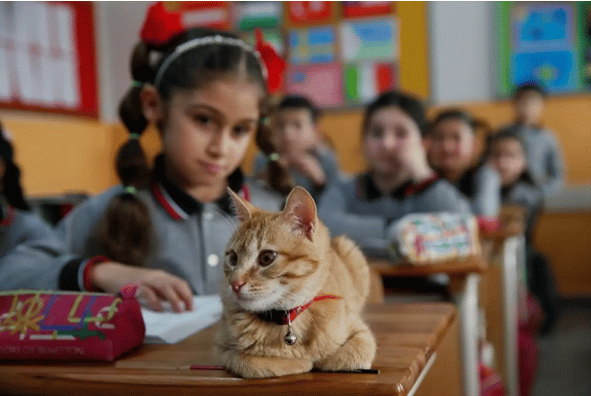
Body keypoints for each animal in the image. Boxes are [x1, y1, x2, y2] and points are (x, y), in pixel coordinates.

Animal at [216, 186, 374, 378]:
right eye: (233, 258)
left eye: (266, 258)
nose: (234, 283)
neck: (286, 318)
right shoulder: (223, 347)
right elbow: (250, 362)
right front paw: (299, 361)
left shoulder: (359, 328)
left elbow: (356, 351)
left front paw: (325, 359)